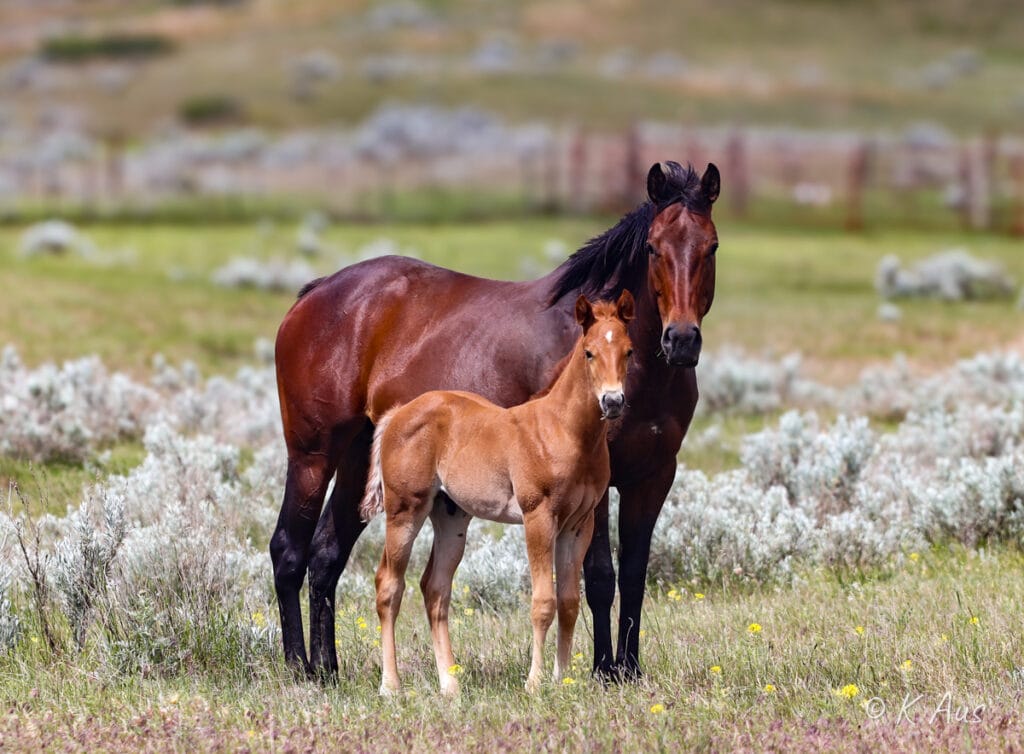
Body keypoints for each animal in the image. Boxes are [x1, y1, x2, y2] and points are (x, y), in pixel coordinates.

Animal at [358, 290, 630, 696]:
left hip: (451, 518)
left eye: (629, 351)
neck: (564, 431)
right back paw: (391, 686)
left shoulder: (578, 524)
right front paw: (534, 684)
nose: (613, 402)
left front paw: (562, 681)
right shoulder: (539, 516)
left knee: (435, 589)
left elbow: (568, 602)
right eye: (589, 352)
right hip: (405, 511)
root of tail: (398, 414)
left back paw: (450, 685)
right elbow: (543, 602)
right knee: (389, 585)